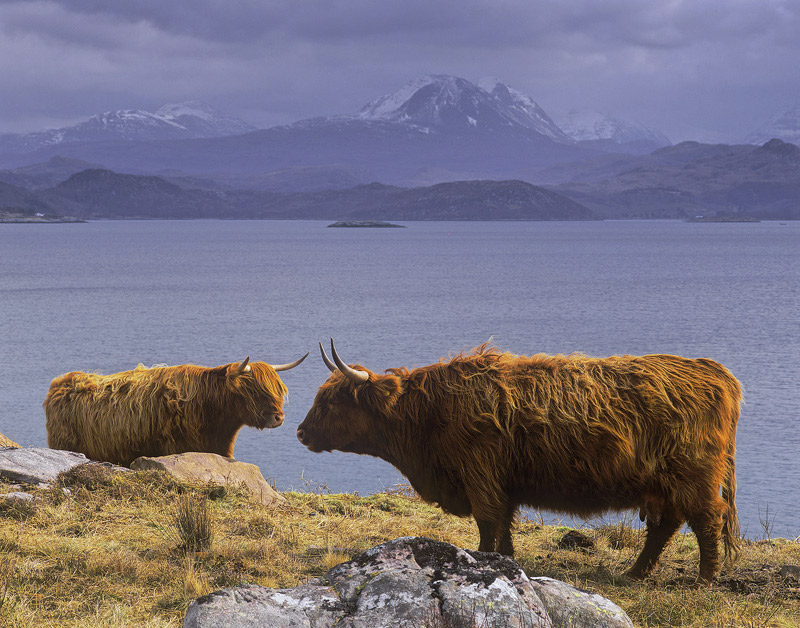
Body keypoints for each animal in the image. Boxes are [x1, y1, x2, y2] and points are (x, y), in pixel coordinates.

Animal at [298, 340, 744, 580]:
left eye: (333, 401)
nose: (301, 432)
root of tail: (714, 371)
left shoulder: (479, 473)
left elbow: (487, 522)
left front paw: (479, 560)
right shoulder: (501, 482)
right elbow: (505, 524)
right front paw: (505, 560)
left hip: (694, 477)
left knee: (707, 520)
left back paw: (705, 579)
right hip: (665, 483)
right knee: (666, 525)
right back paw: (635, 573)